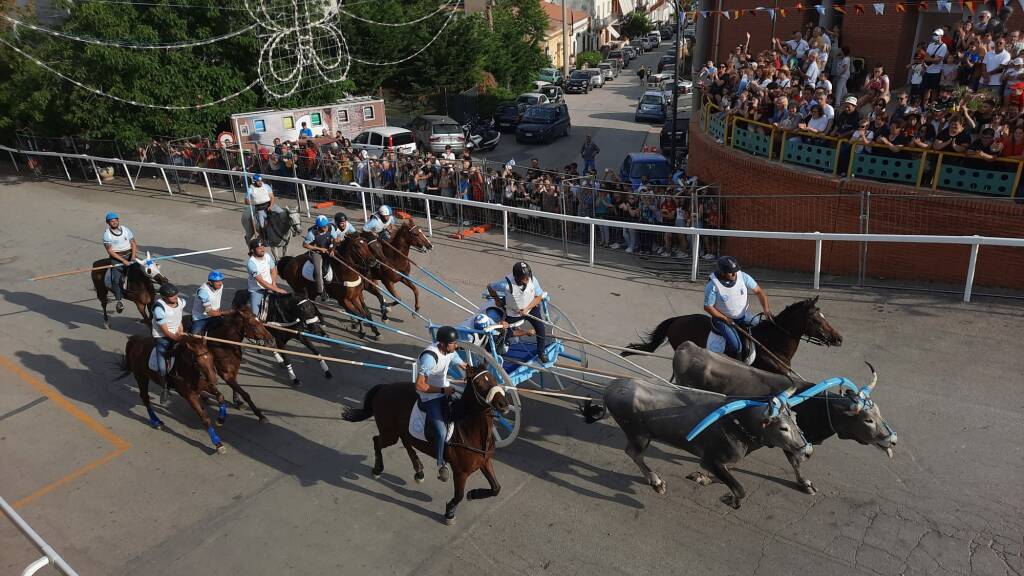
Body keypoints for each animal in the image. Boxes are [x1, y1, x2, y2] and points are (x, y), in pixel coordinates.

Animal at [344, 364, 512, 522]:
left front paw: (474, 493)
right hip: (389, 434)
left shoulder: (485, 461)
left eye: (493, 379)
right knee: (377, 441)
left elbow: (496, 488)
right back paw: (378, 469)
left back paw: (418, 471)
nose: (503, 404)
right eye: (478, 383)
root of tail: (384, 388)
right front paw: (450, 512)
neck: (467, 429)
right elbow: (459, 495)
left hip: (400, 431)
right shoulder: (460, 472)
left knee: (406, 443)